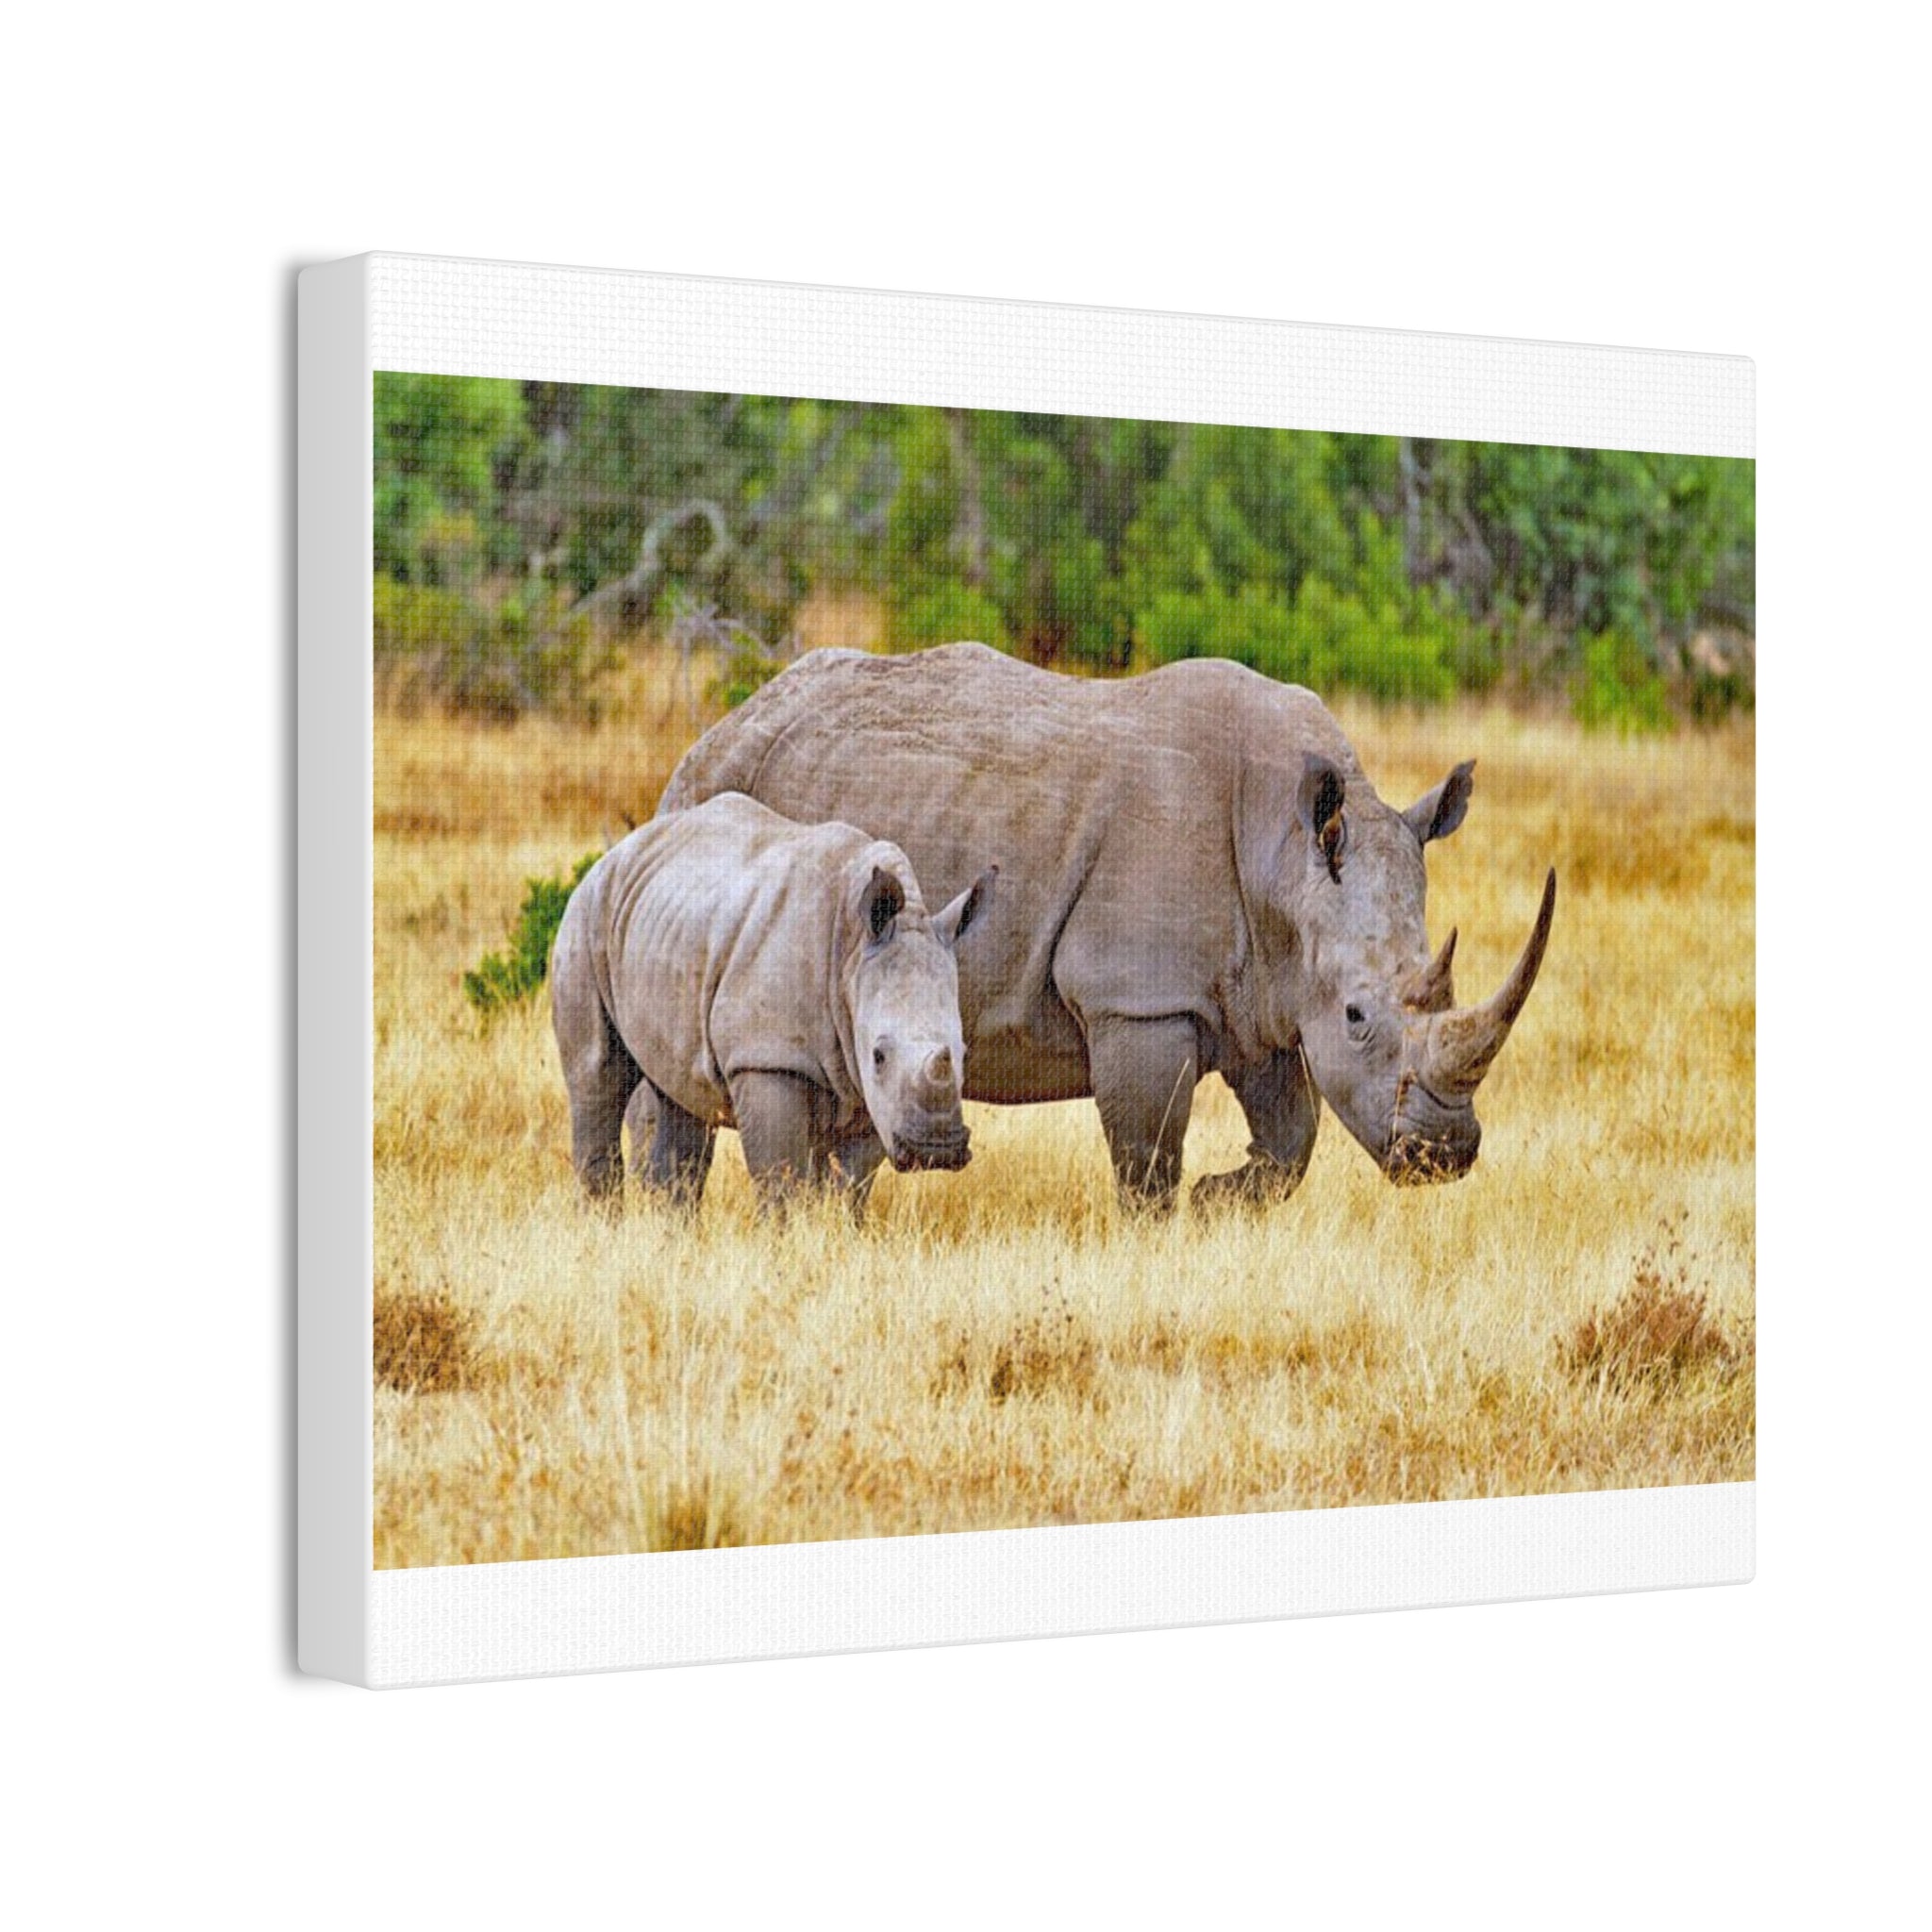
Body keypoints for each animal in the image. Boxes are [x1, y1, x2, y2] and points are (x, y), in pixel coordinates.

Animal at [551, 791, 996, 1213]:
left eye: (962, 1052)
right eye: (879, 1055)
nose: (935, 1151)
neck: (852, 952)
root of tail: (617, 852)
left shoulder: (871, 1089)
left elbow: (850, 1184)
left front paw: (836, 1229)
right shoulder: (767, 1057)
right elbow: (780, 1178)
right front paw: (783, 1235)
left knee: (680, 1096)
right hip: (586, 915)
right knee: (598, 1076)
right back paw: (603, 1223)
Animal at [657, 643, 1554, 1212]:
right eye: (1359, 1017)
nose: (1444, 1155)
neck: (1285, 856)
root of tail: (724, 723)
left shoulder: (1264, 993)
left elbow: (1292, 1140)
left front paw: (1222, 1199)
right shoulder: (1139, 999)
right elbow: (1148, 1157)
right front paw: (1170, 1224)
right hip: (710, 792)